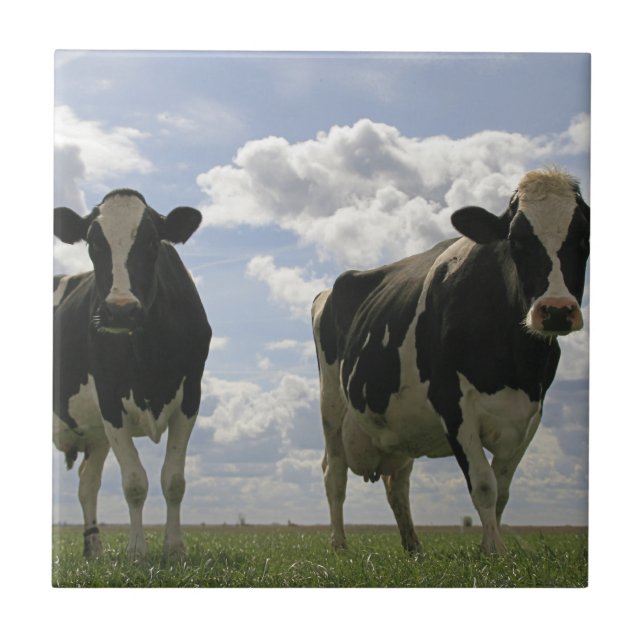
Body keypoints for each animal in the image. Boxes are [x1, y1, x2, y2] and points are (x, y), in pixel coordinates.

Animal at [53, 189, 211, 559]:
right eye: (93, 243)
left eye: (153, 241)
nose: (121, 311)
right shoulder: (109, 399)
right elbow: (135, 482)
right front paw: (137, 551)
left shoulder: (191, 397)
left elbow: (174, 480)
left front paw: (174, 549)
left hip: (95, 435)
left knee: (87, 482)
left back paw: (94, 550)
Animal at [312, 167, 589, 554]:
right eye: (516, 240)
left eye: (584, 237)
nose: (557, 311)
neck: (516, 363)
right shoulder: (452, 403)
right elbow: (484, 484)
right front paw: (495, 551)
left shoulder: (532, 413)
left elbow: (502, 490)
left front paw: (490, 546)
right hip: (332, 408)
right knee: (334, 474)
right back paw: (339, 545)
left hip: (401, 424)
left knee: (397, 483)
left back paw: (413, 548)